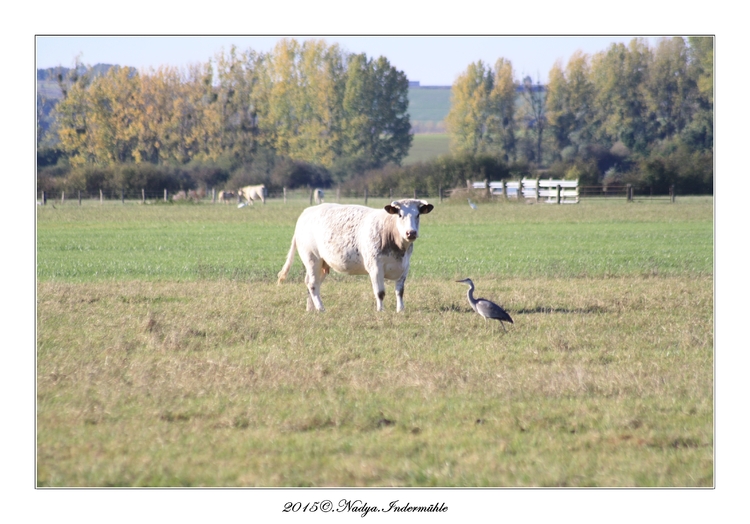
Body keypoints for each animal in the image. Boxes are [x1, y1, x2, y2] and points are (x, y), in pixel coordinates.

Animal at [278, 196, 434, 312]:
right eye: (400, 215)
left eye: (418, 215)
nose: (411, 233)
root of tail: (306, 212)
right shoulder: (375, 267)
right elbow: (380, 292)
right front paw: (381, 311)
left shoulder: (404, 267)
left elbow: (400, 291)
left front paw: (400, 310)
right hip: (312, 258)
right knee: (312, 284)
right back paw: (321, 308)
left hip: (322, 263)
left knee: (312, 282)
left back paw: (311, 308)